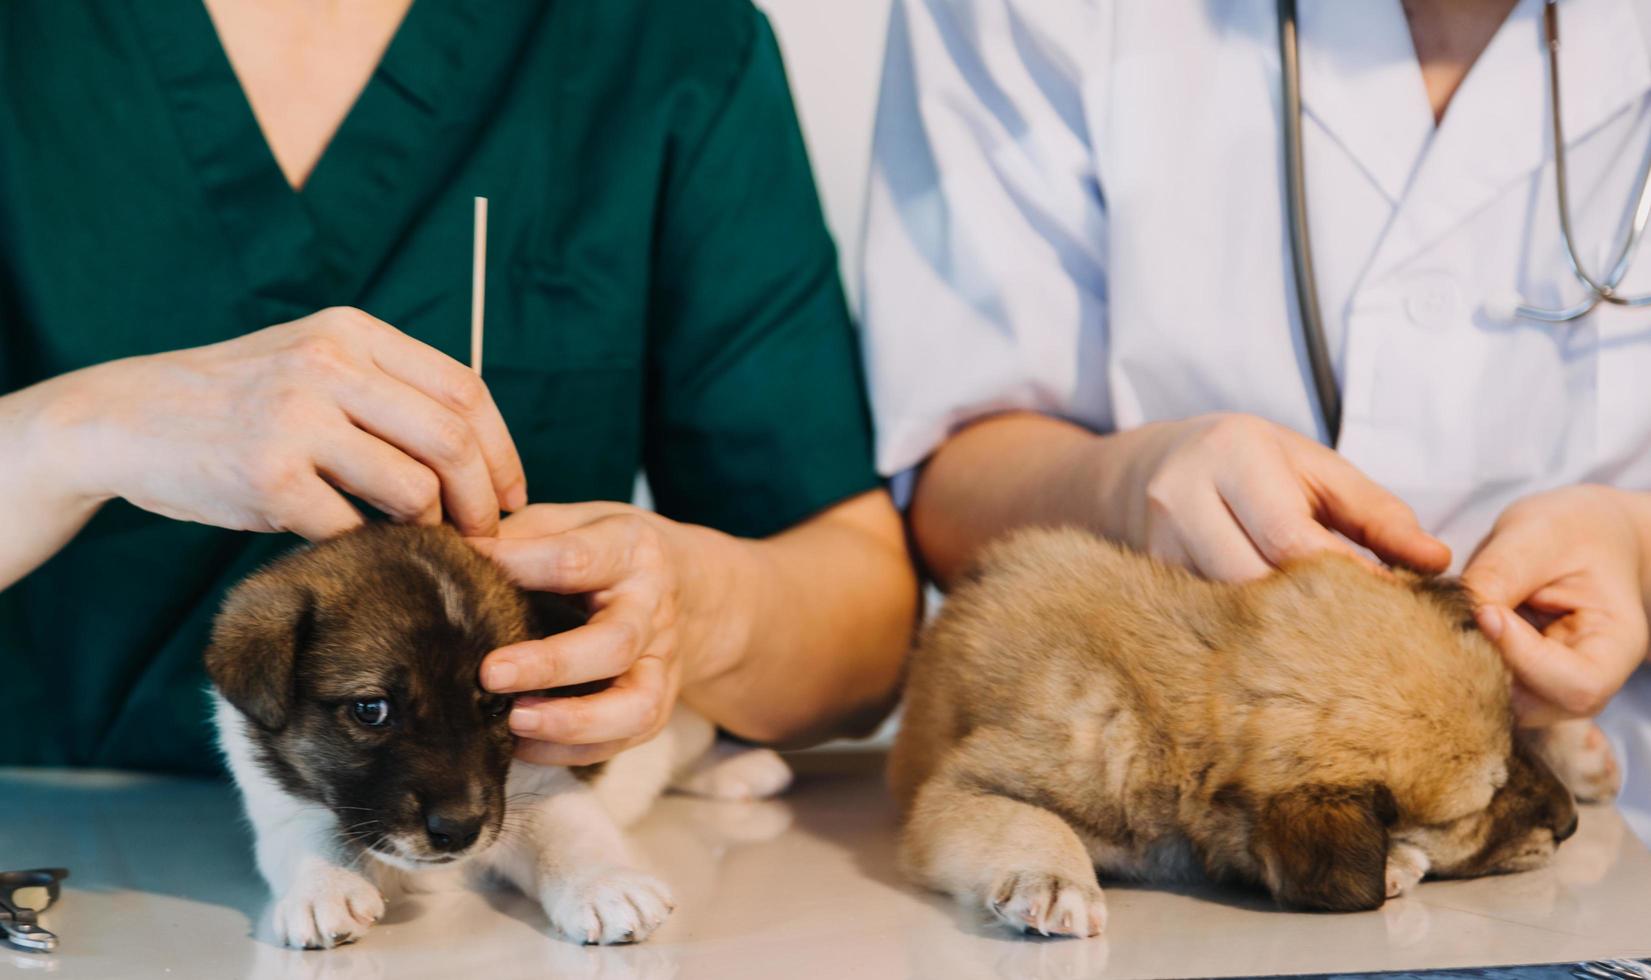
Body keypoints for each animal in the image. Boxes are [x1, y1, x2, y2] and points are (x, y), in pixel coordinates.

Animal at [203, 527, 795, 943]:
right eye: (371, 710)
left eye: (499, 706)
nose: (459, 830)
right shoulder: (280, 804)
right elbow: (310, 838)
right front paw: (324, 887)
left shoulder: (542, 789)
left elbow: (570, 838)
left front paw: (604, 884)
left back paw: (735, 766)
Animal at [891, 521, 1598, 937]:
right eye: (1479, 806)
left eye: (1514, 733)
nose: (1569, 827)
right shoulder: (961, 786)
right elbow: (1031, 821)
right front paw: (1053, 879)